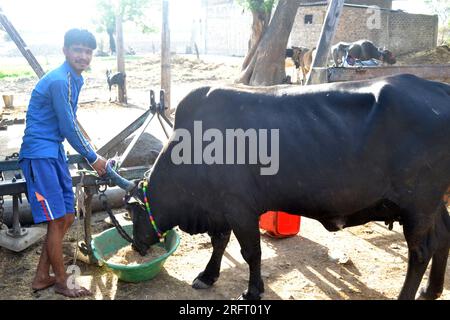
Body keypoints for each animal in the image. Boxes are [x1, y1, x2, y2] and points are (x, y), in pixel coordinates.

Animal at [125, 74, 448, 300]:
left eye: (133, 214)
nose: (136, 246)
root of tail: (438, 89)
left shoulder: (239, 207)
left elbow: (250, 252)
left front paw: (252, 290)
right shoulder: (220, 209)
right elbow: (220, 242)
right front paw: (207, 275)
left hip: (418, 204)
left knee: (421, 252)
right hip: (433, 203)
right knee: (443, 235)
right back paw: (431, 290)